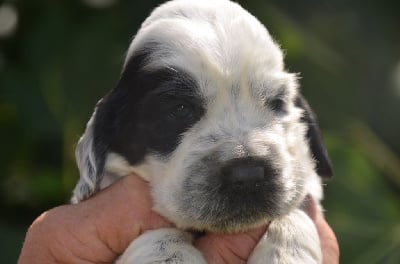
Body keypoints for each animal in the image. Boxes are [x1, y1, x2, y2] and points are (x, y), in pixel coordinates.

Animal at [71, 0, 332, 262]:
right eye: (180, 109)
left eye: (277, 102)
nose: (248, 174)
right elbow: (161, 237)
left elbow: (295, 210)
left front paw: (286, 249)